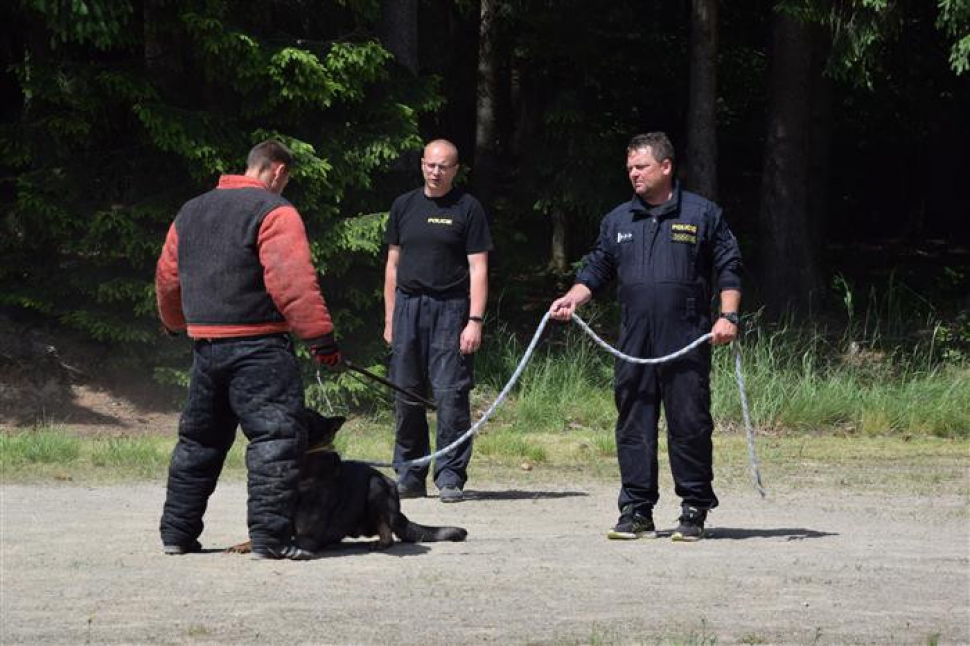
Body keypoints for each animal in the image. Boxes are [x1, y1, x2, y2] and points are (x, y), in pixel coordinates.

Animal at [228, 412, 468, 556]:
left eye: (306, 416)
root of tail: (400, 514)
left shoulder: (308, 538)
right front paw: (243, 544)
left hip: (377, 485)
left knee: (389, 535)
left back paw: (379, 543)